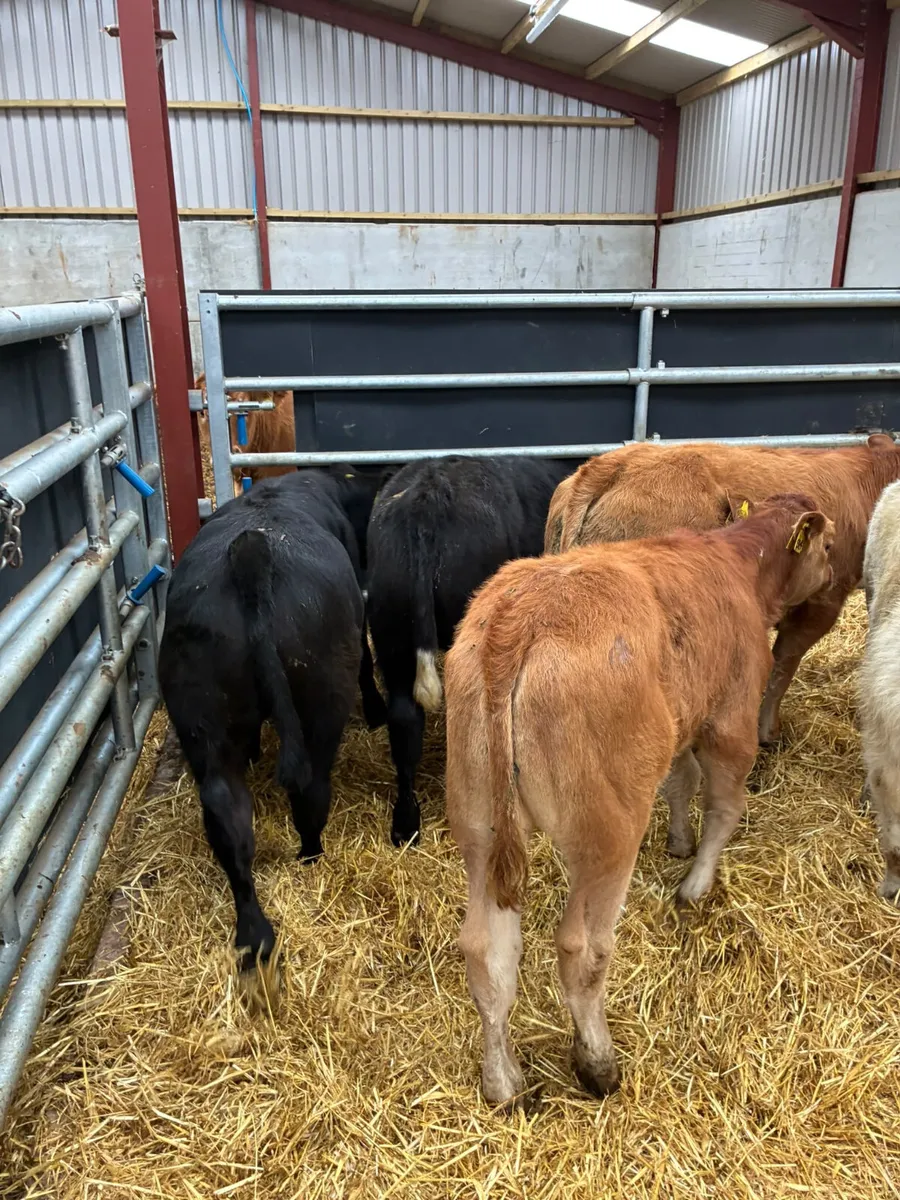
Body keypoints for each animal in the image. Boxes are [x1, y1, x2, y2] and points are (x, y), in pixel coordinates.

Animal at [159, 468, 386, 969]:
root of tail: (251, 551)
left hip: (203, 718)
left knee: (227, 813)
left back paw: (254, 934)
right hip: (322, 703)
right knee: (311, 789)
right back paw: (311, 855)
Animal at [446, 494, 834, 1105]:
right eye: (827, 544)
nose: (835, 576)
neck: (738, 564)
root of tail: (518, 618)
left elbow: (681, 780)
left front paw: (678, 841)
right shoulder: (730, 721)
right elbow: (724, 807)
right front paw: (696, 885)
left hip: (479, 821)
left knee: (487, 951)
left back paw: (503, 1082)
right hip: (608, 832)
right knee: (582, 947)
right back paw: (598, 1064)